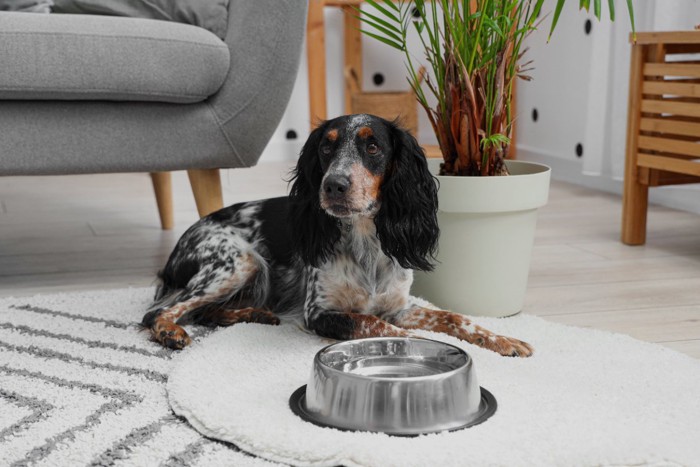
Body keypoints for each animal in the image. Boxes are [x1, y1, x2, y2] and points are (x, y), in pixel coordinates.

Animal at [142, 114, 536, 358]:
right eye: (326, 147)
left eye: (373, 146)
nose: (334, 184)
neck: (366, 244)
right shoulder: (320, 312)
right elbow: (379, 326)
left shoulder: (399, 307)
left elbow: (455, 317)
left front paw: (503, 340)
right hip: (240, 261)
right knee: (159, 312)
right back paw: (170, 331)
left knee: (204, 312)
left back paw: (256, 314)